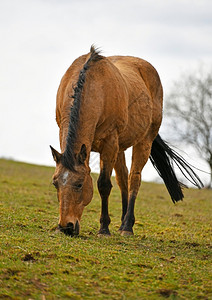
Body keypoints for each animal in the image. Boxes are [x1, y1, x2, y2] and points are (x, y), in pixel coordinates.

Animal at [50, 45, 204, 237]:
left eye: (79, 184)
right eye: (55, 183)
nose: (66, 227)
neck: (95, 87)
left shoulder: (109, 144)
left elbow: (104, 184)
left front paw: (104, 229)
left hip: (144, 142)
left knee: (133, 179)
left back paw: (127, 226)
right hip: (120, 148)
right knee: (123, 180)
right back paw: (123, 221)